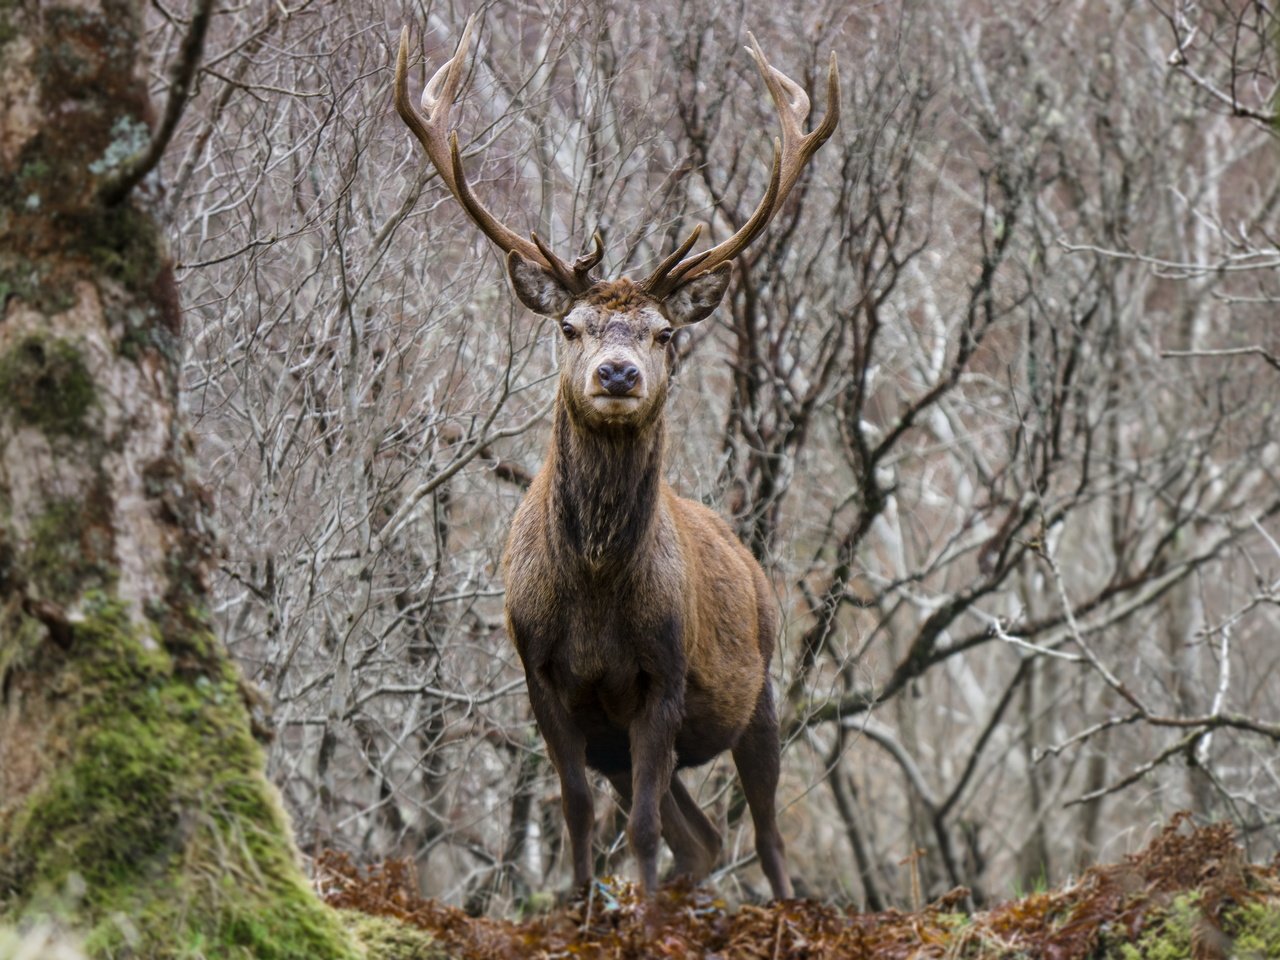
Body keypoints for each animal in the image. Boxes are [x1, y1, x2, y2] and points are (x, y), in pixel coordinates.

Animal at [396, 16, 839, 901]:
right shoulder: (542, 677)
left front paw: (633, 917)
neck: (597, 593)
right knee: (703, 837)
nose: (618, 373)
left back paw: (780, 908)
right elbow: (574, 810)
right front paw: (579, 906)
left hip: (763, 688)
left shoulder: (663, 676)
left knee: (765, 833)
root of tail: (748, 555)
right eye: (570, 325)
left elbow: (636, 828)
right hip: (630, 739)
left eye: (665, 332)